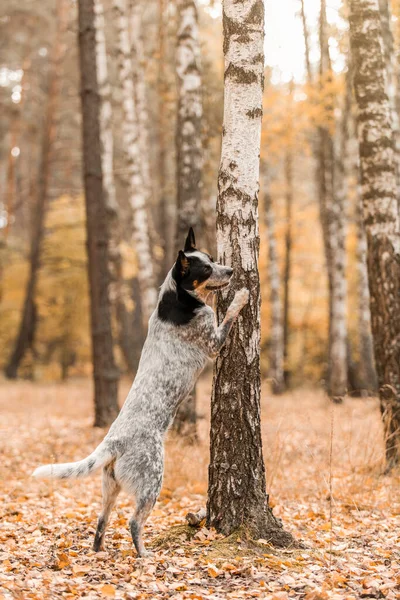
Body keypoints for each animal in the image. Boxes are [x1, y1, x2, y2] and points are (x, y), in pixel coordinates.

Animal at [32, 227, 248, 556]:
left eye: (212, 258)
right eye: (206, 269)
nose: (232, 270)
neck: (176, 299)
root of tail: (112, 442)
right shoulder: (213, 341)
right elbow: (229, 313)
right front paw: (242, 295)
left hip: (109, 487)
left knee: (101, 521)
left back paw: (99, 551)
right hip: (152, 480)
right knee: (134, 522)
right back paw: (144, 554)